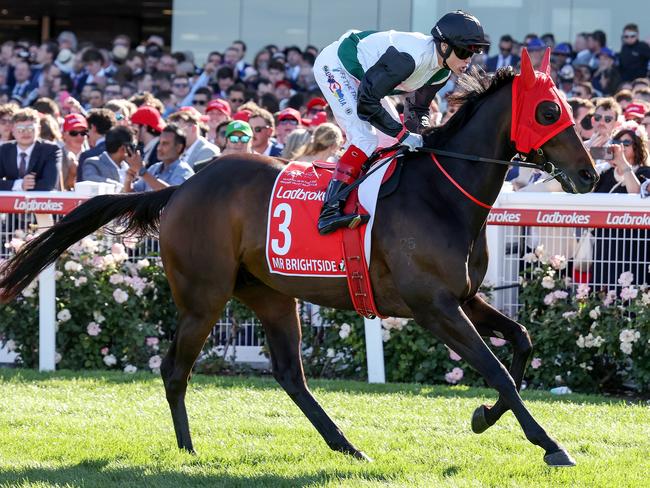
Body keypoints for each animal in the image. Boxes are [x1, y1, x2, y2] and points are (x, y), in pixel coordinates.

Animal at [1, 51, 596, 468]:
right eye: (548, 110)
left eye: (568, 108)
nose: (590, 175)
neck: (440, 194)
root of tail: (183, 187)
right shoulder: (434, 307)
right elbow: (498, 370)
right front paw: (550, 444)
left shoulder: (465, 298)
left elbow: (520, 345)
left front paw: (481, 418)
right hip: (204, 297)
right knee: (175, 368)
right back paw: (189, 449)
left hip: (270, 294)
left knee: (290, 374)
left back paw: (347, 446)